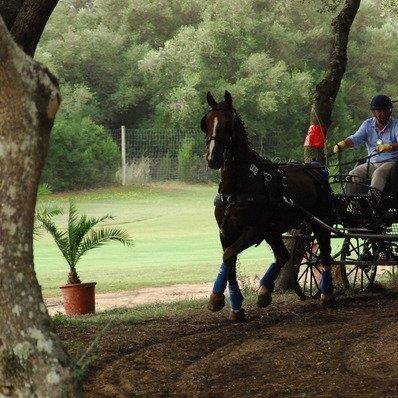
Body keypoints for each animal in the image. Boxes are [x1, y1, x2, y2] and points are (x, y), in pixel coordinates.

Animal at [201, 90, 334, 320]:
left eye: (228, 123)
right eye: (207, 122)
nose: (213, 158)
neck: (239, 185)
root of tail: (317, 169)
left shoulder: (253, 231)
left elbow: (229, 255)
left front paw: (217, 298)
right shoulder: (225, 231)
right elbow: (229, 262)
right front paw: (234, 306)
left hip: (319, 220)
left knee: (324, 251)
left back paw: (326, 294)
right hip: (272, 230)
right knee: (283, 255)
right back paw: (264, 291)